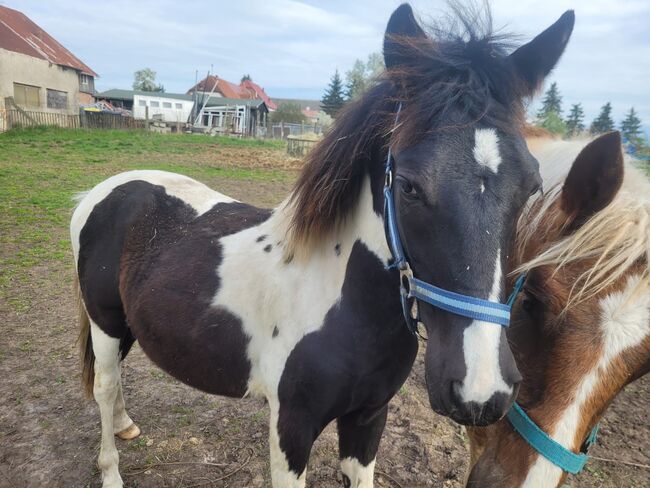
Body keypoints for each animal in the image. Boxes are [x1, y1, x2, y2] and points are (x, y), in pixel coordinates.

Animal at [72, 4, 572, 488]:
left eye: (532, 187)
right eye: (409, 186)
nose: (481, 393)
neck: (338, 304)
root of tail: (107, 190)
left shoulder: (368, 419)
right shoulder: (291, 427)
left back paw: (127, 425)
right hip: (104, 322)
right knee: (104, 387)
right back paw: (111, 471)